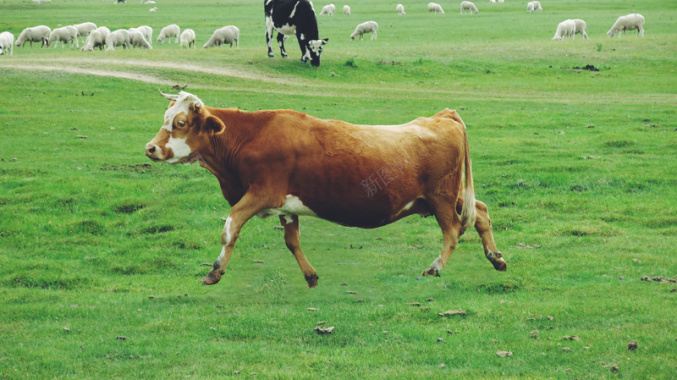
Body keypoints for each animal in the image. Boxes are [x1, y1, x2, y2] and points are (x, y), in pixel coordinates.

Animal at [145, 91, 504, 288]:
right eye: (165, 117)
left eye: (180, 123)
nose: (150, 148)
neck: (250, 135)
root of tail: (442, 116)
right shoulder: (286, 206)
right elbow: (292, 242)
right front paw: (310, 276)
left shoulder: (261, 194)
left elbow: (230, 227)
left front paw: (215, 272)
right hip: (447, 197)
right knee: (480, 212)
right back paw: (496, 258)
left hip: (441, 197)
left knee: (453, 231)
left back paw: (435, 267)